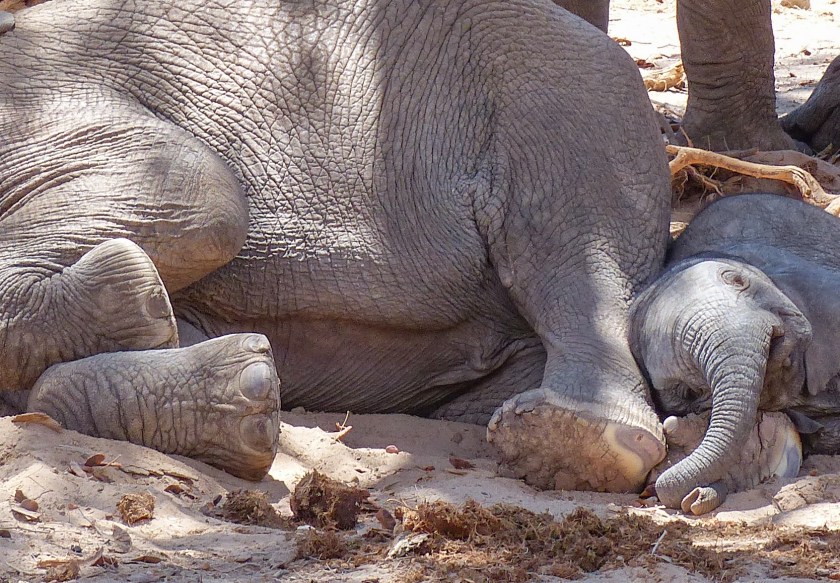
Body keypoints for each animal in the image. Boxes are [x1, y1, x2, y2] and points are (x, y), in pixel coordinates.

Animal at [0, 0, 673, 490]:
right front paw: (239, 386)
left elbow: (199, 188)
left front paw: (137, 299)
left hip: (568, 109)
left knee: (570, 256)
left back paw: (578, 446)